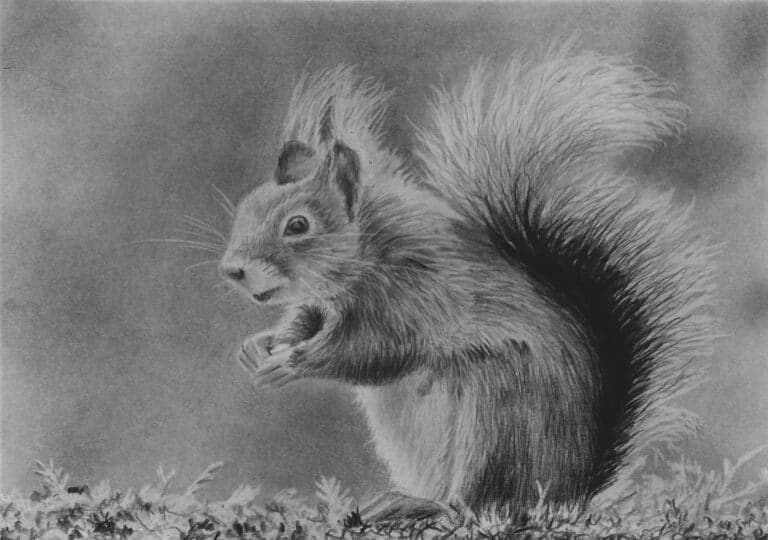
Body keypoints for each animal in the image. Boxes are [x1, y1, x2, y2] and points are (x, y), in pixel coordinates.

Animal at [219, 42, 714, 513]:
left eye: (298, 225)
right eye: (246, 208)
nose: (232, 270)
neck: (367, 251)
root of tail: (567, 490)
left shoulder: (413, 296)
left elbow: (370, 351)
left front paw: (290, 362)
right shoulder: (325, 303)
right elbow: (306, 321)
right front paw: (261, 345)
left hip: (498, 413)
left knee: (479, 501)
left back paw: (424, 507)